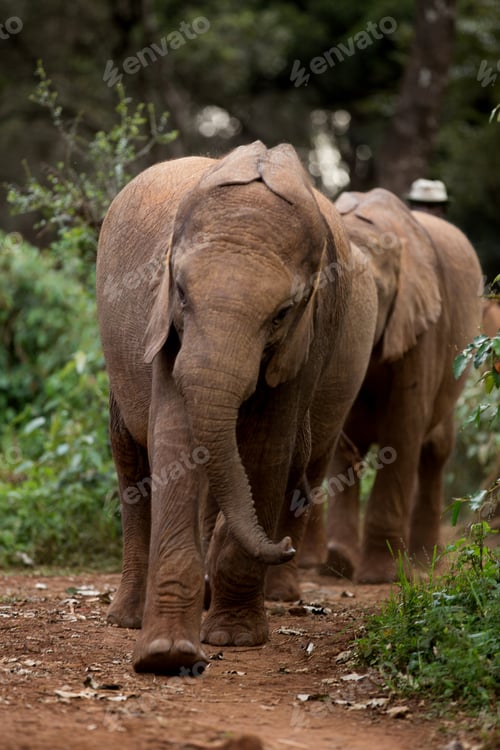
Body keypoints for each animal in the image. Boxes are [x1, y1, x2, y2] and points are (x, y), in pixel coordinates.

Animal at [95, 141, 378, 674]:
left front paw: (233, 637)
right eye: (181, 293)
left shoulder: (309, 335)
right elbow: (173, 440)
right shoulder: (164, 325)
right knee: (131, 461)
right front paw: (167, 655)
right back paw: (127, 619)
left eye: (281, 314)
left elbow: (267, 448)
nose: (286, 548)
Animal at [296, 188, 483, 584]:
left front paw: (382, 576)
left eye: (378, 293)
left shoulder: (423, 320)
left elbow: (403, 425)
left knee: (435, 452)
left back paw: (422, 561)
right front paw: (338, 563)